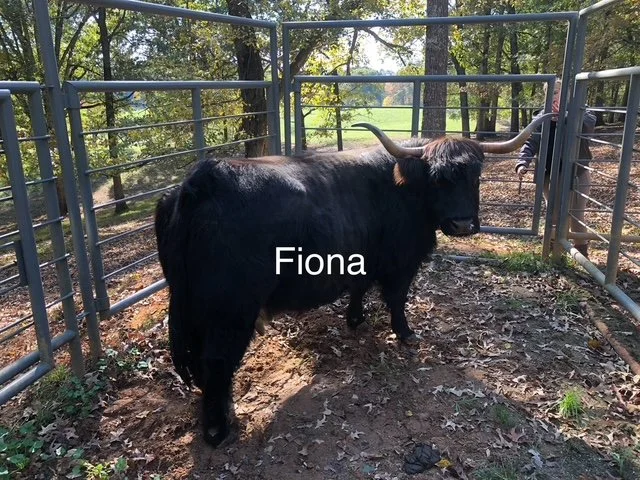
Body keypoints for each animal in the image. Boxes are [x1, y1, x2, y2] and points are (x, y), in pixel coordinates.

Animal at [154, 116, 552, 447]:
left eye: (475, 177)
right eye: (438, 179)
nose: (462, 224)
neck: (404, 189)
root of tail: (205, 177)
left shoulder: (362, 258)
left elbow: (359, 288)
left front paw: (356, 319)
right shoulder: (401, 263)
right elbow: (397, 299)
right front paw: (405, 333)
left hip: (196, 308)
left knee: (204, 364)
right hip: (229, 310)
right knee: (216, 361)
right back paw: (218, 430)